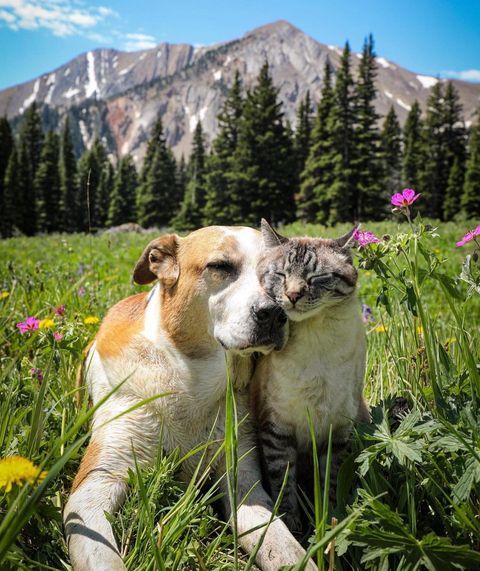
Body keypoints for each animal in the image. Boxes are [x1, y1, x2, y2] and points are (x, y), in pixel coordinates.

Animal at [64, 226, 318, 571]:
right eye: (220, 266)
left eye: (279, 272)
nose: (276, 313)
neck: (191, 378)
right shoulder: (95, 483)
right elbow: (103, 556)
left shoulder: (243, 479)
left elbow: (284, 548)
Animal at [253, 221, 370, 536]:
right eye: (281, 275)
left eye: (316, 277)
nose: (293, 295)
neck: (314, 340)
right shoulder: (277, 429)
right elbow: (284, 482)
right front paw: (292, 523)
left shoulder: (337, 430)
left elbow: (330, 482)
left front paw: (328, 521)